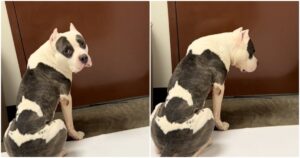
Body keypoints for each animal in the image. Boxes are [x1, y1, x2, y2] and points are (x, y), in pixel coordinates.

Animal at [3, 23, 92, 157]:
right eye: (67, 51)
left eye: (82, 44)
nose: (83, 57)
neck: (51, 54)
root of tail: (23, 153)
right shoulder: (66, 98)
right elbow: (70, 122)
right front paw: (76, 135)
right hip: (59, 123)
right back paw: (63, 151)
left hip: (8, 129)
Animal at [151, 27, 258, 157]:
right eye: (252, 51)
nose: (258, 62)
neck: (224, 42)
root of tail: (168, 144)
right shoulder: (219, 87)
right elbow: (217, 112)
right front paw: (222, 126)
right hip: (207, 113)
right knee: (195, 152)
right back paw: (208, 141)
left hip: (157, 107)